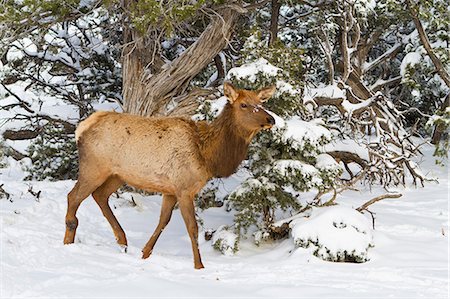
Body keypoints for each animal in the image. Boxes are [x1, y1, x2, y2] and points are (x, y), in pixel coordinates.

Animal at [64, 82, 276, 270]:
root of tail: (81, 128)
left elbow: (163, 221)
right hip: (94, 168)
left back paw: (122, 240)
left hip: (117, 175)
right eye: (244, 104)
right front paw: (199, 265)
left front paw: (144, 253)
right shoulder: (184, 189)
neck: (207, 156)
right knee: (73, 196)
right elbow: (192, 227)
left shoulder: (170, 190)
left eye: (261, 102)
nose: (271, 119)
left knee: (100, 195)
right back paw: (68, 243)